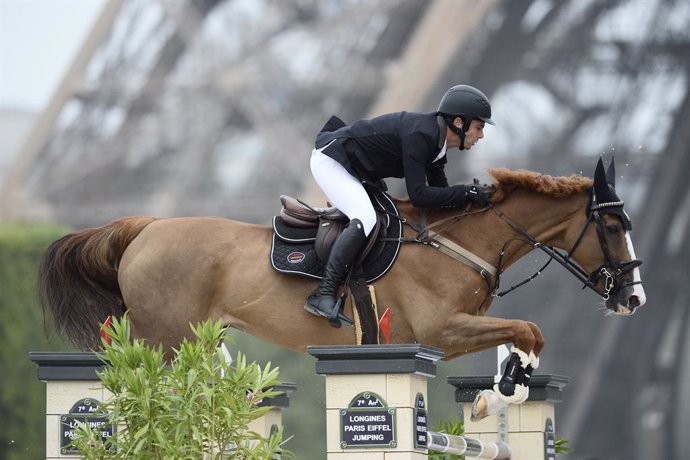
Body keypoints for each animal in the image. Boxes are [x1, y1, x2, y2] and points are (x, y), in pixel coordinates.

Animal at [40, 160, 644, 372]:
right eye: (614, 227)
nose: (633, 298)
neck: (453, 241)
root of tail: (145, 228)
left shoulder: (448, 334)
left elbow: (526, 330)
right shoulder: (440, 332)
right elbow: (530, 329)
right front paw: (514, 379)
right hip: (166, 340)